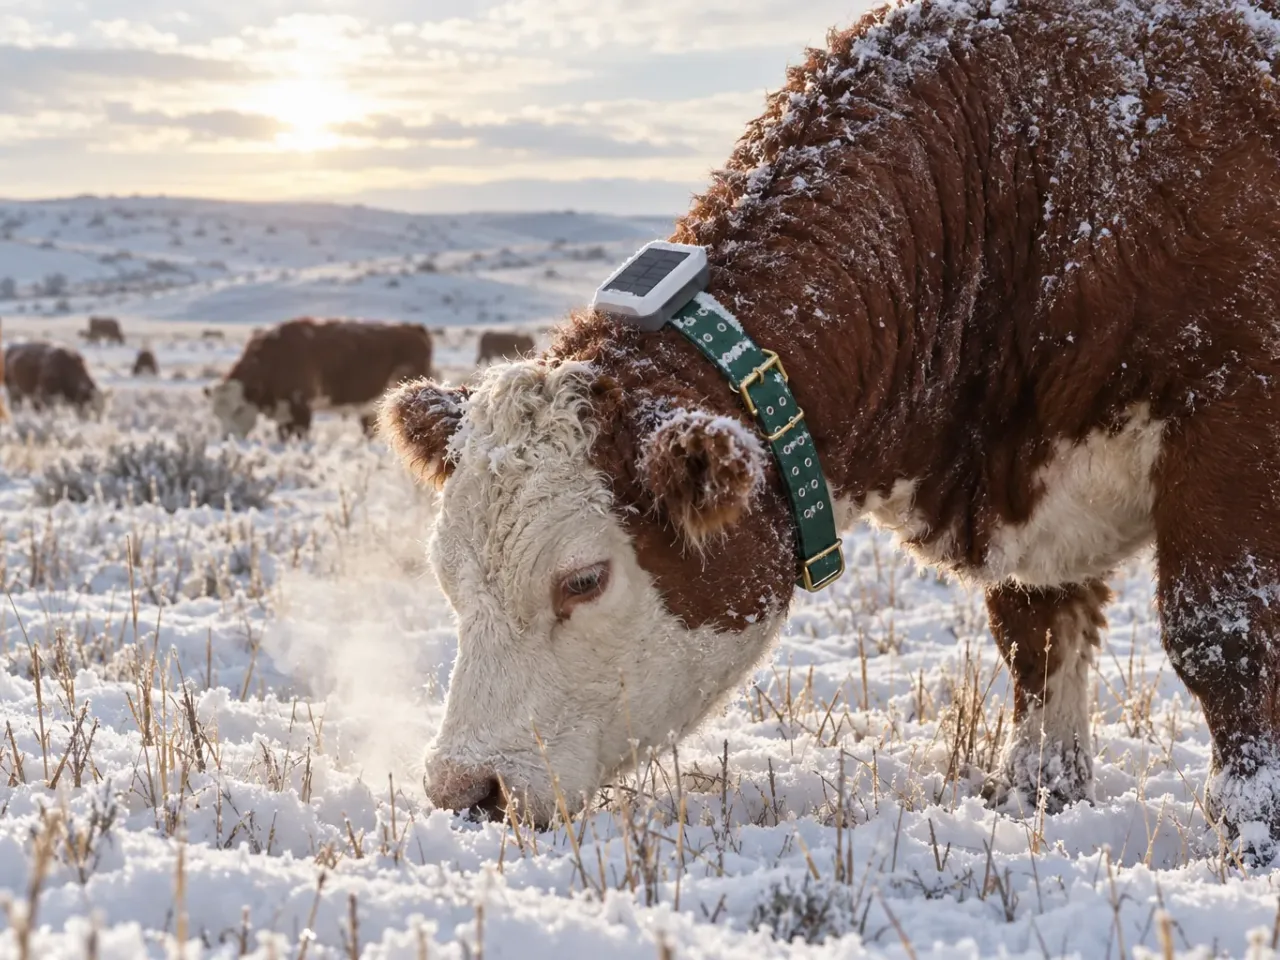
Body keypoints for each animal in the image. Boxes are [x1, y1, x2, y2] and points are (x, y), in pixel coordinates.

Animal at [207, 317, 432, 440]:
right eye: (216, 413)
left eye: (239, 409)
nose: (227, 438)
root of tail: (412, 328)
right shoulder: (284, 415)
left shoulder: (301, 410)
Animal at [376, 0, 1280, 861]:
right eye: (446, 577)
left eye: (585, 580)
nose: (466, 788)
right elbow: (1036, 641)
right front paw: (1038, 795)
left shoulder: (1236, 414)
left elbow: (1220, 633)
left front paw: (1252, 826)